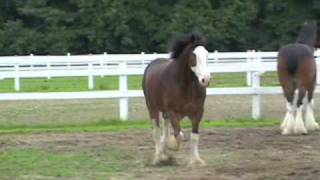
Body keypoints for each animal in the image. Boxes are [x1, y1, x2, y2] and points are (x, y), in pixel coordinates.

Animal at [142, 31, 210, 167]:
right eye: (194, 55)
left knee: (165, 130)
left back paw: (163, 154)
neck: (185, 86)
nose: (206, 79)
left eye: (206, 54)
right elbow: (179, 135)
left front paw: (196, 160)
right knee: (157, 132)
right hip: (152, 108)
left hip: (165, 113)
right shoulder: (173, 112)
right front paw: (171, 147)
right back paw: (158, 157)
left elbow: (194, 137)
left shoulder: (198, 112)